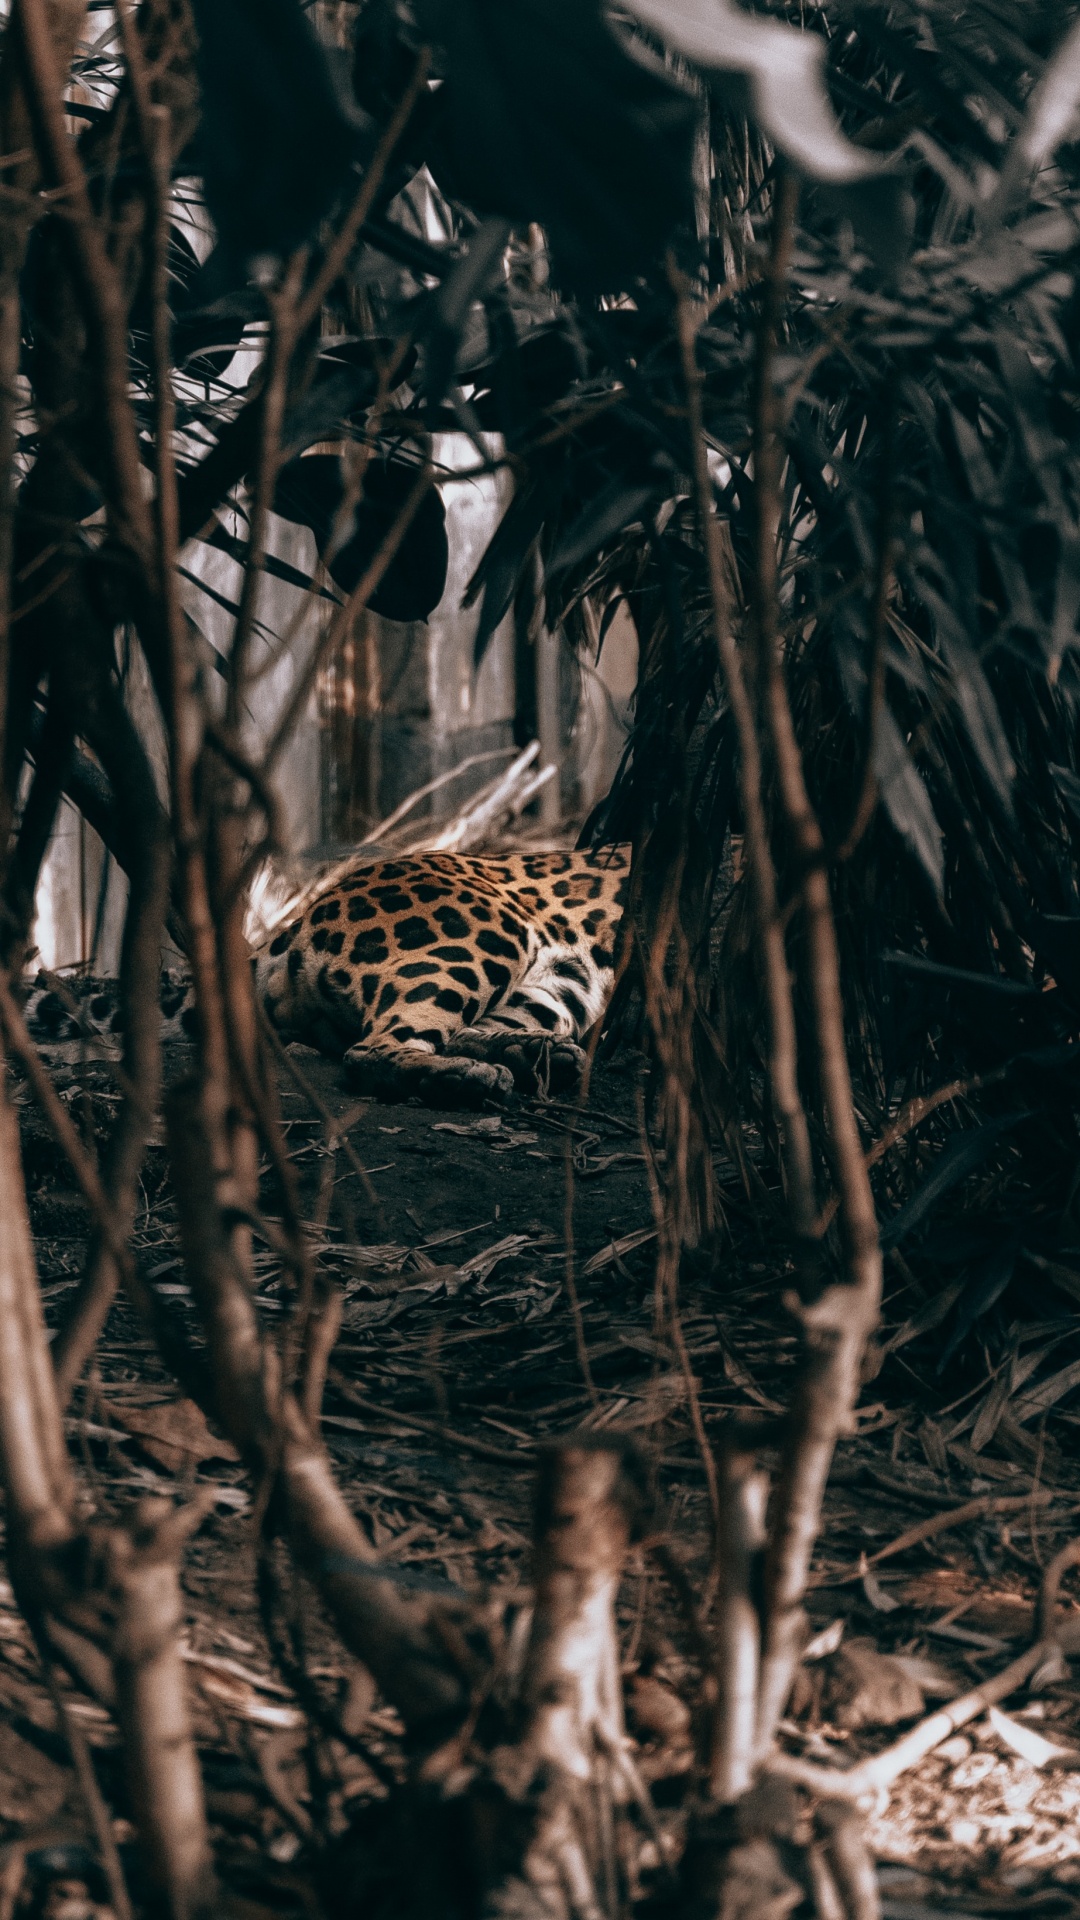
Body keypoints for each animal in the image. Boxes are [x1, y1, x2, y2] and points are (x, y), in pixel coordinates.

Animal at [23, 843, 632, 1108]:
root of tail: (292, 923)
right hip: (481, 932)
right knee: (374, 1049)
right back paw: (464, 1077)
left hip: (561, 982)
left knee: (463, 1030)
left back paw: (534, 1055)